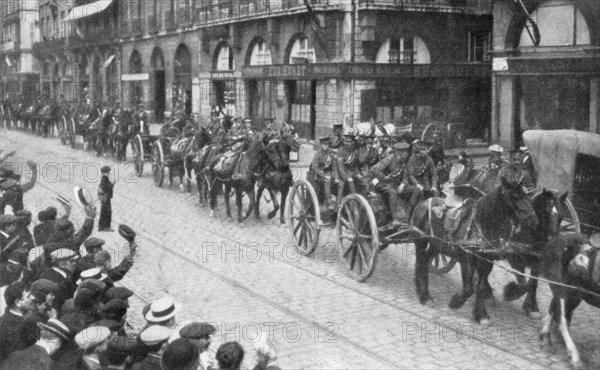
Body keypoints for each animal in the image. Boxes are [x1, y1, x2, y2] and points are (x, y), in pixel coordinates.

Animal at [540, 233, 600, 368]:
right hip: (561, 287)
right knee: (562, 320)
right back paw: (575, 357)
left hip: (574, 294)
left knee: (553, 309)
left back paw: (546, 339)